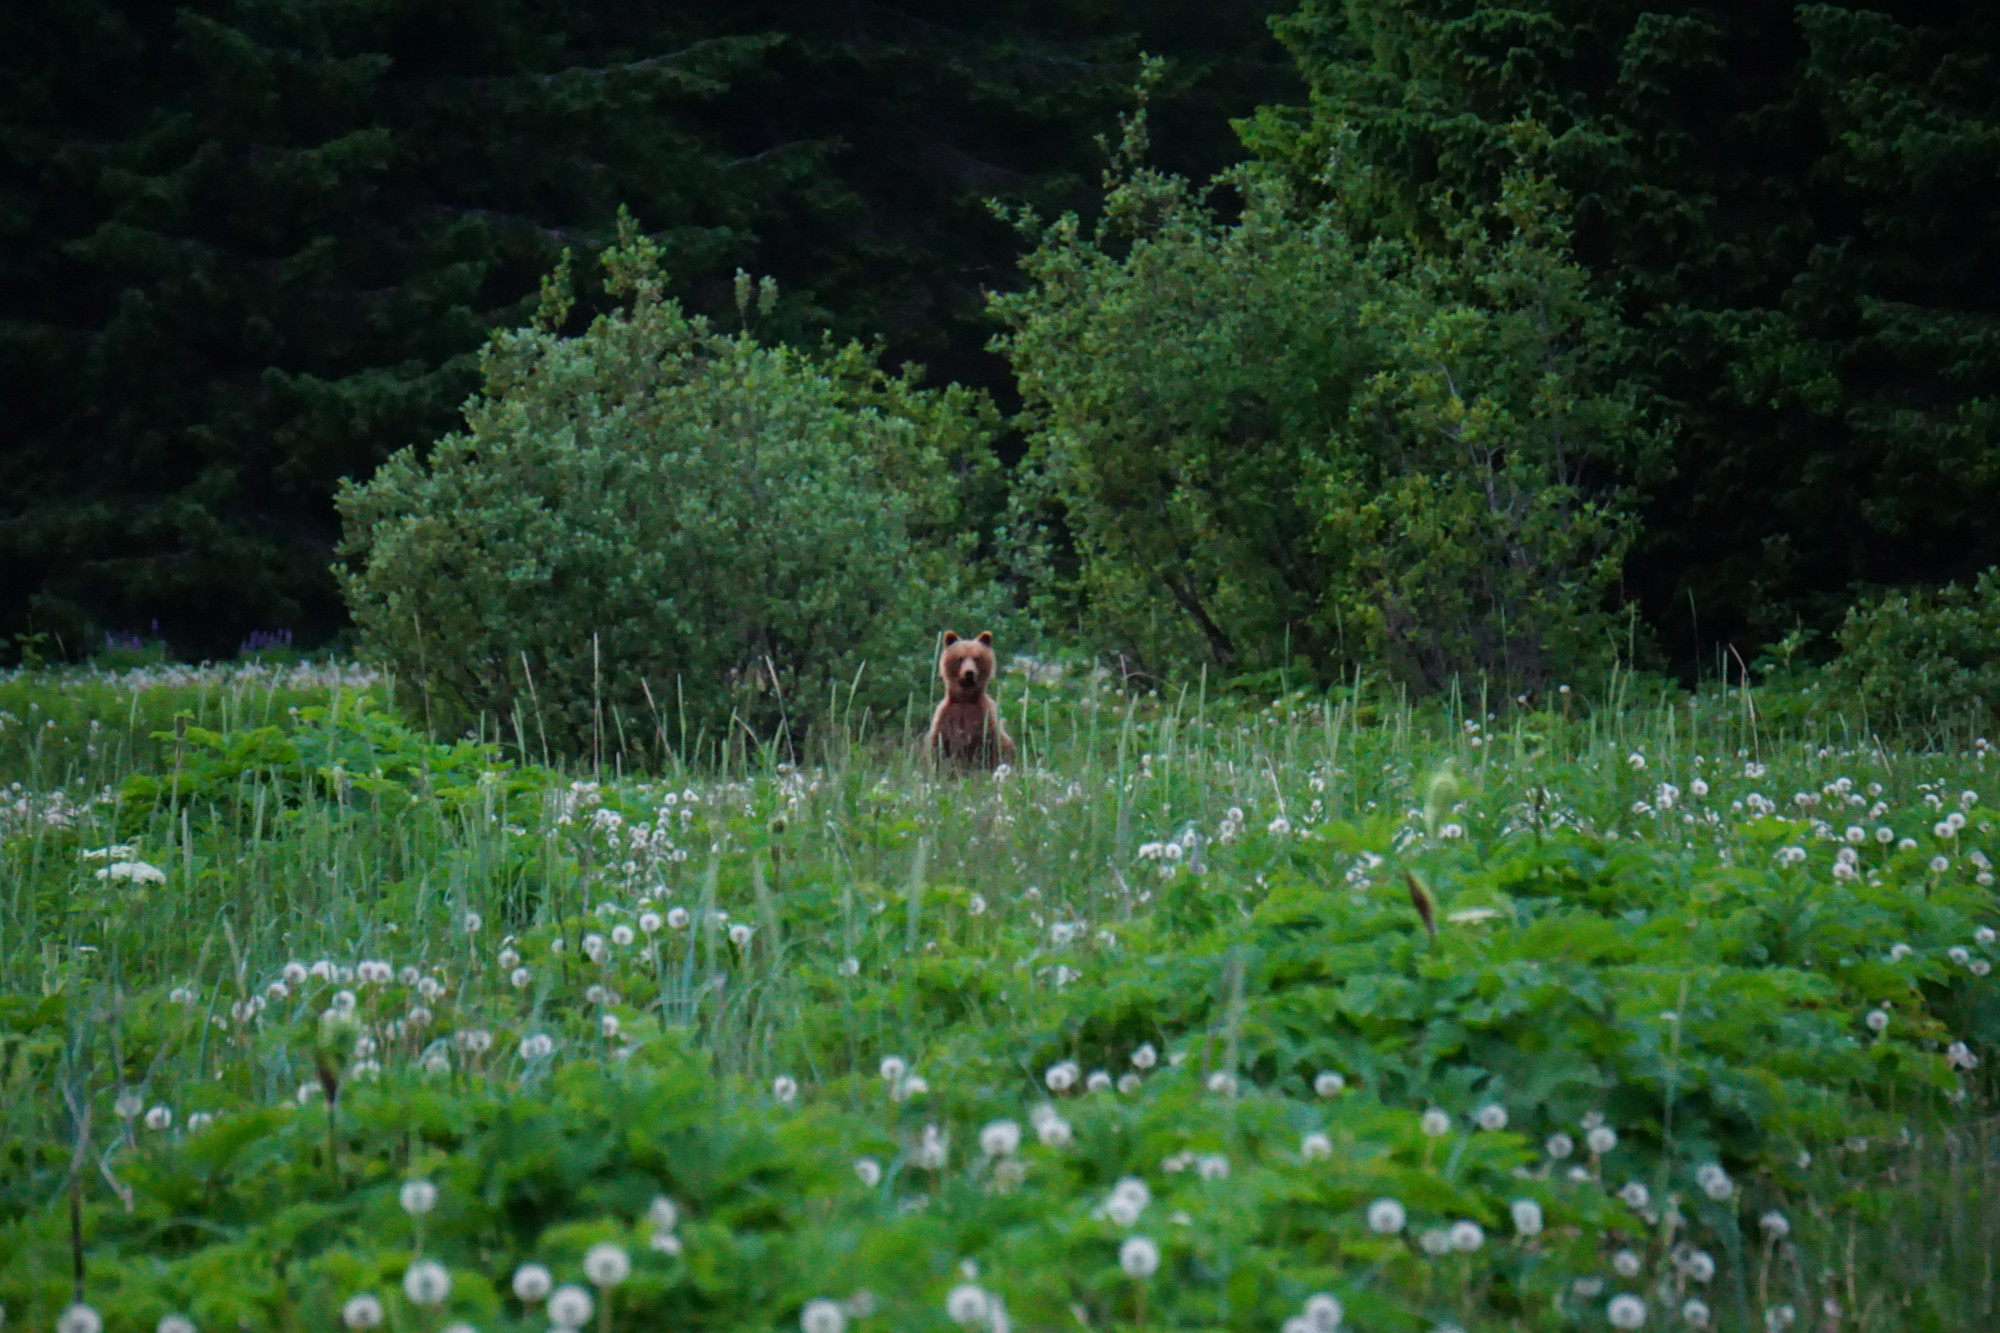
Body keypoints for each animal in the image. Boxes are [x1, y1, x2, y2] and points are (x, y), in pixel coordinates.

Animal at [927, 630, 1015, 771]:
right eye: (961, 657)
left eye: (977, 658)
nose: (969, 672)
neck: (965, 697)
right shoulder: (946, 716)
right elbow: (939, 747)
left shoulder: (985, 717)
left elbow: (997, 746)